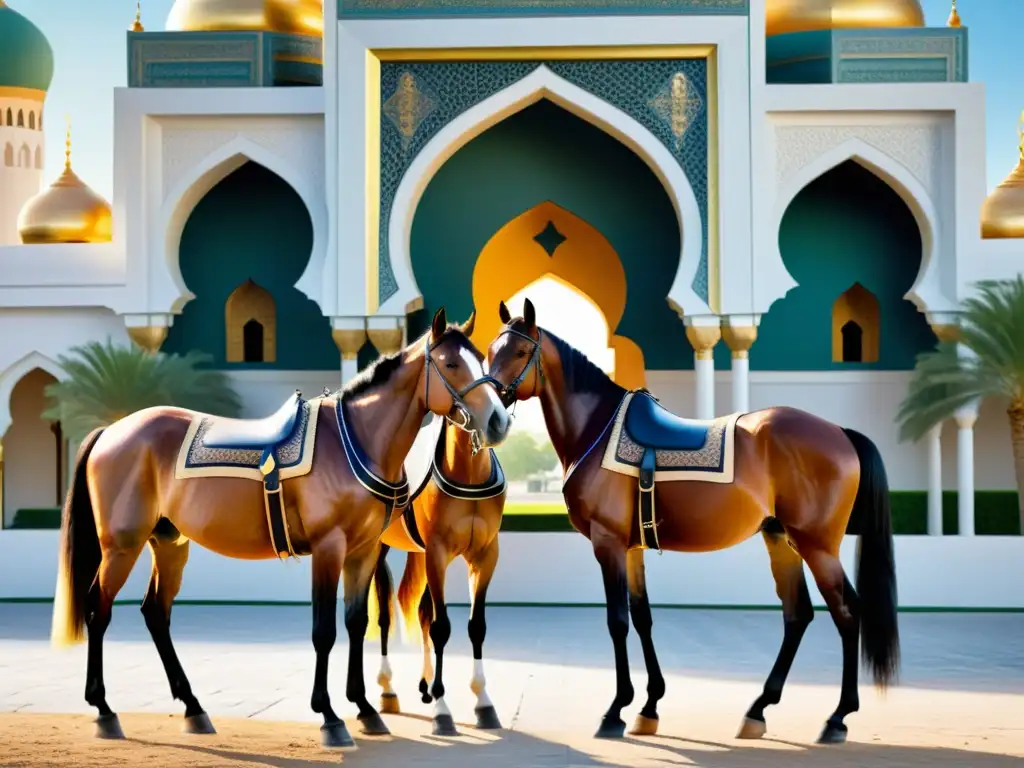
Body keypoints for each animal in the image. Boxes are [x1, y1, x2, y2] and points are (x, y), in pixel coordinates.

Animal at [366, 415, 509, 741]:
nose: (496, 423)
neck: (469, 472)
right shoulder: (437, 554)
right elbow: (440, 628)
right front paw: (442, 712)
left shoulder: (485, 556)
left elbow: (475, 626)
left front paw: (483, 704)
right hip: (379, 547)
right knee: (384, 615)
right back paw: (387, 689)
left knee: (421, 612)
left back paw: (423, 685)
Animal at [485, 301, 897, 745]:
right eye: (490, 350)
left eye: (520, 352)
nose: (492, 415)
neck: (597, 431)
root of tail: (839, 431)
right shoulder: (631, 548)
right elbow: (642, 617)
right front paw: (648, 707)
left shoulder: (607, 542)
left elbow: (618, 621)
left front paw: (615, 710)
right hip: (780, 538)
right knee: (798, 614)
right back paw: (758, 709)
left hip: (817, 545)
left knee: (847, 612)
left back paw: (837, 717)